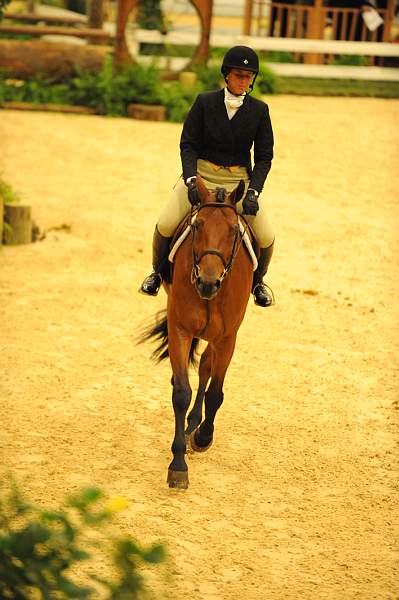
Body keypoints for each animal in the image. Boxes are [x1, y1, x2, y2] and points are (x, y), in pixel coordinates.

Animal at [142, 176, 255, 490]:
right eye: (197, 226)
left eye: (233, 230)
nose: (207, 282)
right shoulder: (180, 328)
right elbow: (181, 392)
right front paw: (178, 466)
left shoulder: (227, 337)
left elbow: (215, 391)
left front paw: (203, 437)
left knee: (205, 368)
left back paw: (195, 425)